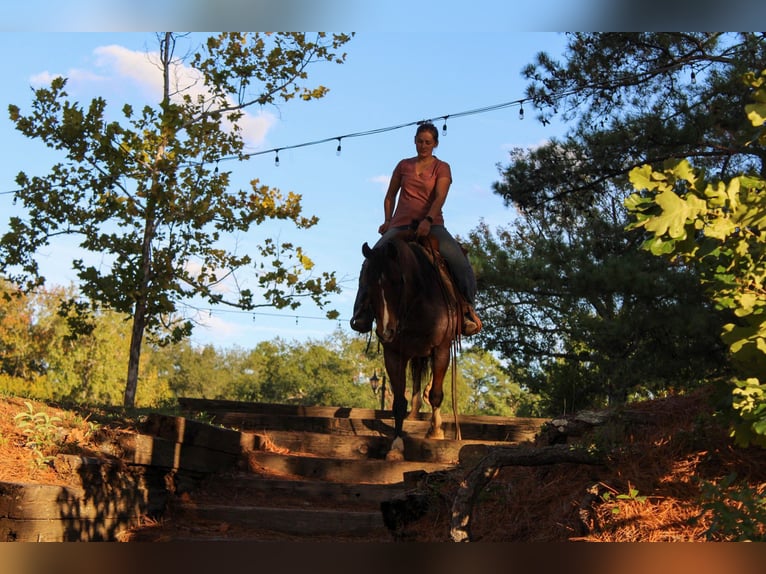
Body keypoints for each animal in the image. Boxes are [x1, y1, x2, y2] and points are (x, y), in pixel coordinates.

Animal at [360, 232, 462, 462]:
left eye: (398, 281)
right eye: (366, 283)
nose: (385, 332)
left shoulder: (441, 350)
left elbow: (436, 394)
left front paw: (435, 432)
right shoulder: (394, 354)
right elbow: (398, 402)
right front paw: (396, 446)